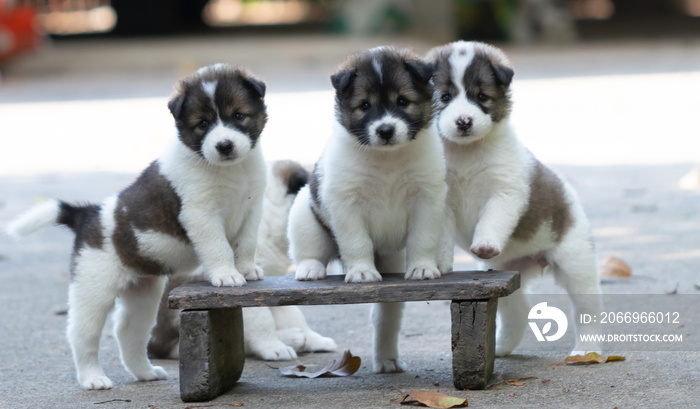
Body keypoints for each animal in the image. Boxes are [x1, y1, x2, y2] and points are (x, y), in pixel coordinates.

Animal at [6, 63, 268, 388]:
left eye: (238, 116)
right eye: (203, 123)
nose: (224, 145)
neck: (230, 170)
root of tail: (88, 214)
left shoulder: (252, 207)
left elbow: (246, 242)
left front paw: (247, 269)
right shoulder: (201, 214)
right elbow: (218, 246)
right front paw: (227, 275)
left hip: (143, 294)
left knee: (129, 332)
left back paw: (145, 373)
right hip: (93, 287)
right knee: (83, 332)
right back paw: (93, 378)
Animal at [286, 46, 446, 372]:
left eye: (402, 101)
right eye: (365, 105)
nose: (385, 130)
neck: (387, 159)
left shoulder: (427, 198)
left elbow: (423, 239)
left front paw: (422, 267)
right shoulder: (346, 202)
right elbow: (356, 242)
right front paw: (361, 272)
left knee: (385, 317)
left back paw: (387, 359)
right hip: (304, 210)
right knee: (309, 248)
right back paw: (310, 268)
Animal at [426, 39, 600, 356]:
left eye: (481, 96)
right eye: (444, 96)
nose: (464, 121)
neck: (466, 152)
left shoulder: (505, 191)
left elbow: (492, 219)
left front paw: (484, 244)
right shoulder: (441, 200)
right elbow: (441, 234)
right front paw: (439, 264)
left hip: (576, 262)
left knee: (587, 309)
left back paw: (586, 351)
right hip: (506, 273)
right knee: (517, 310)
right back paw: (502, 347)